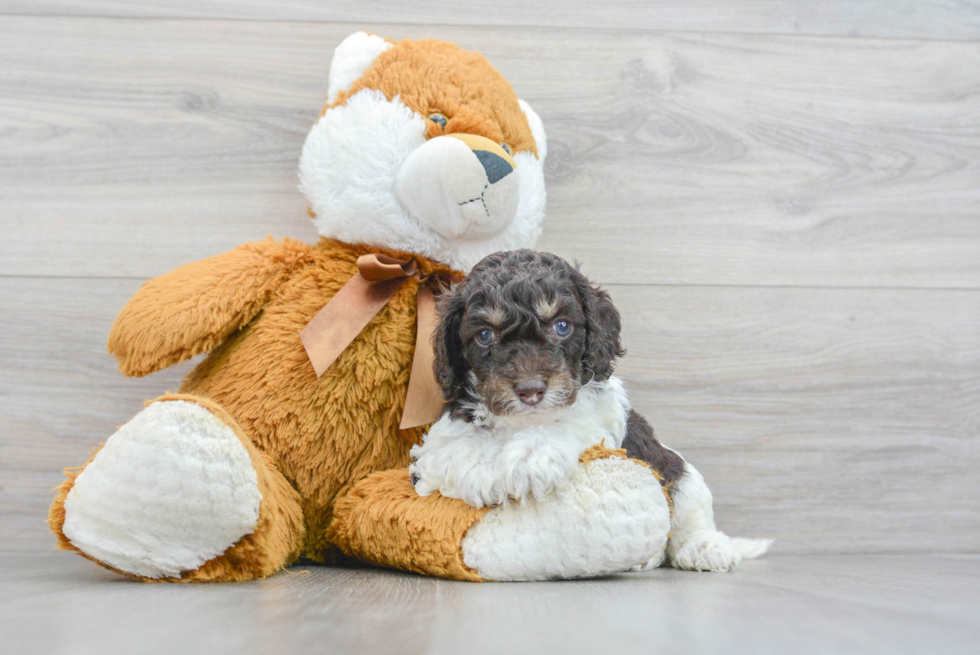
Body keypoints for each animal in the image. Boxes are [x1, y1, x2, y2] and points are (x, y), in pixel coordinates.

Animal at [410, 249, 768, 572]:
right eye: (485, 335)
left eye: (562, 326)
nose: (530, 390)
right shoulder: (439, 440)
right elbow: (454, 449)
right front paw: (485, 474)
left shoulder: (602, 416)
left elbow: (571, 424)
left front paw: (529, 460)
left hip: (678, 471)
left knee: (689, 510)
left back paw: (704, 547)